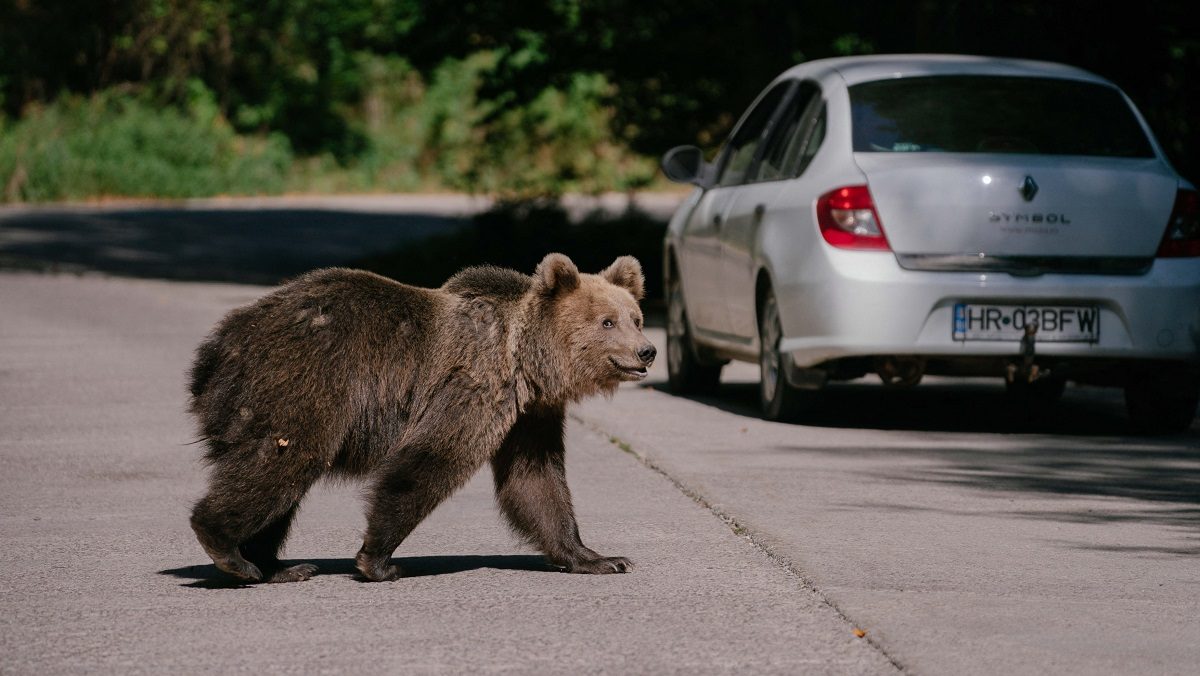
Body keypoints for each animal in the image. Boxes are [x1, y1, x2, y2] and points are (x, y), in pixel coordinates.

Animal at [188, 252, 657, 581]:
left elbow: (535, 480)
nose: (647, 351)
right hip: (303, 381)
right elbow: (432, 459)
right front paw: (378, 561)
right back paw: (229, 550)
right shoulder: (474, 385)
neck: (525, 362)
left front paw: (601, 558)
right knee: (281, 462)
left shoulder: (529, 415)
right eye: (607, 322)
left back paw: (277, 566)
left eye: (636, 318)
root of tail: (218, 346)